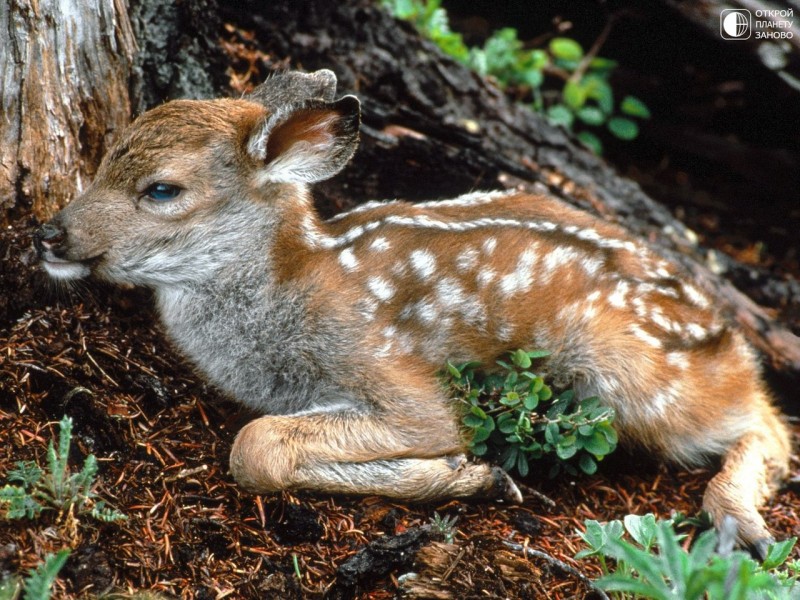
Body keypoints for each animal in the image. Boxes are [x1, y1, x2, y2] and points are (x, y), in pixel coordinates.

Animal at [36, 69, 788, 552]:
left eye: (162, 190)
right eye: (102, 157)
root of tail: (726, 336)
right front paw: (477, 478)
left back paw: (738, 521)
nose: (50, 233)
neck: (290, 289)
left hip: (623, 366)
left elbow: (257, 447)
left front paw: (472, 475)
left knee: (767, 421)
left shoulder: (393, 375)